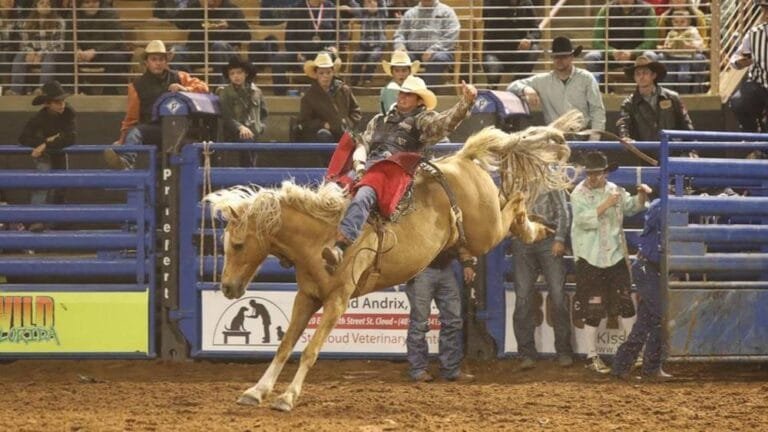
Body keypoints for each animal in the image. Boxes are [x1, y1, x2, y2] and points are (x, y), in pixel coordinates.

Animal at [204, 112, 582, 411]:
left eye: (238, 244)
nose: (227, 287)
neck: (320, 237)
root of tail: (462, 157)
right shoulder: (307, 297)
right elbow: (284, 346)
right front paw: (257, 390)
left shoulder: (338, 300)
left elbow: (310, 350)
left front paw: (287, 397)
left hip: (485, 230)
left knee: (516, 199)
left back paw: (536, 227)